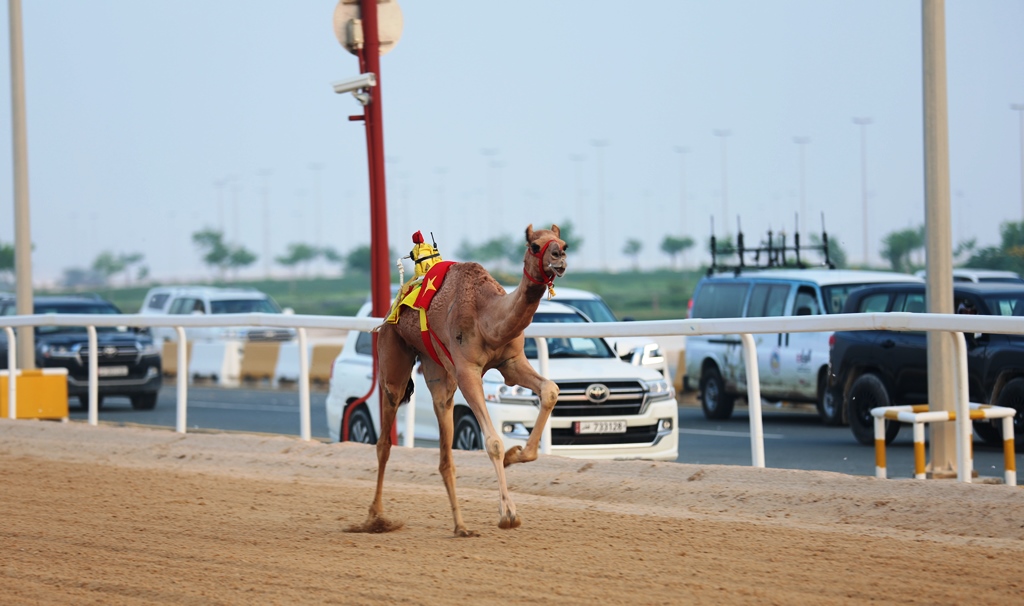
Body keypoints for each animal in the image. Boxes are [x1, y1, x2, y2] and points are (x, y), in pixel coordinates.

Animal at [348, 225, 565, 536]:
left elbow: (550, 389)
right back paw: (376, 519)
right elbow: (493, 442)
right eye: (535, 246)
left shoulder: (511, 363)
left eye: (563, 243)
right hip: (393, 359)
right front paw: (508, 513)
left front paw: (516, 454)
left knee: (444, 449)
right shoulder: (467, 372)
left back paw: (461, 526)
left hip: (438, 373)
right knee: (384, 442)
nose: (560, 258)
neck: (487, 318)